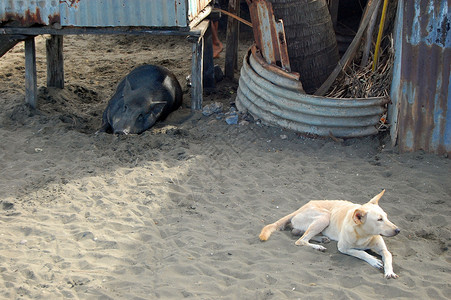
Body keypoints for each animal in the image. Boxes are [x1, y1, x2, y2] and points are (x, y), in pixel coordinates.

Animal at [260, 190, 400, 278]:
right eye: (379, 219)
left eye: (386, 217)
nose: (398, 230)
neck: (364, 235)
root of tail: (299, 209)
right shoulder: (343, 248)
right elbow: (361, 252)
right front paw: (373, 260)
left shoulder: (384, 250)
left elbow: (388, 257)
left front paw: (389, 272)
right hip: (325, 216)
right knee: (301, 240)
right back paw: (318, 246)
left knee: (298, 233)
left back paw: (322, 239)